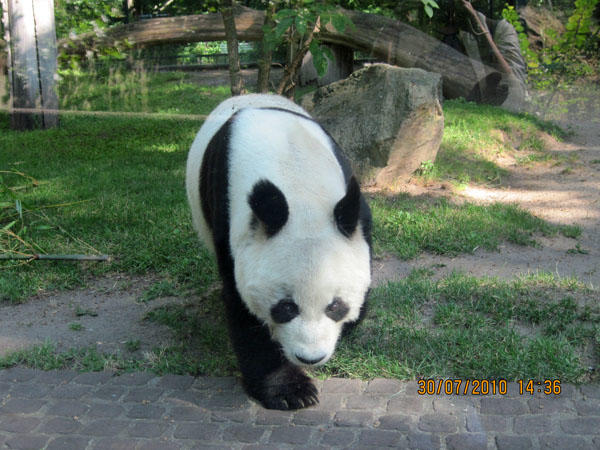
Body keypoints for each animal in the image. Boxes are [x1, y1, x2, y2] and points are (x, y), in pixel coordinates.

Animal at [186, 94, 372, 410]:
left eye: (335, 306)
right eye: (285, 307)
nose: (310, 357)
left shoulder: (352, 208)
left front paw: (352, 322)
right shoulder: (230, 219)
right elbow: (242, 306)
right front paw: (290, 390)